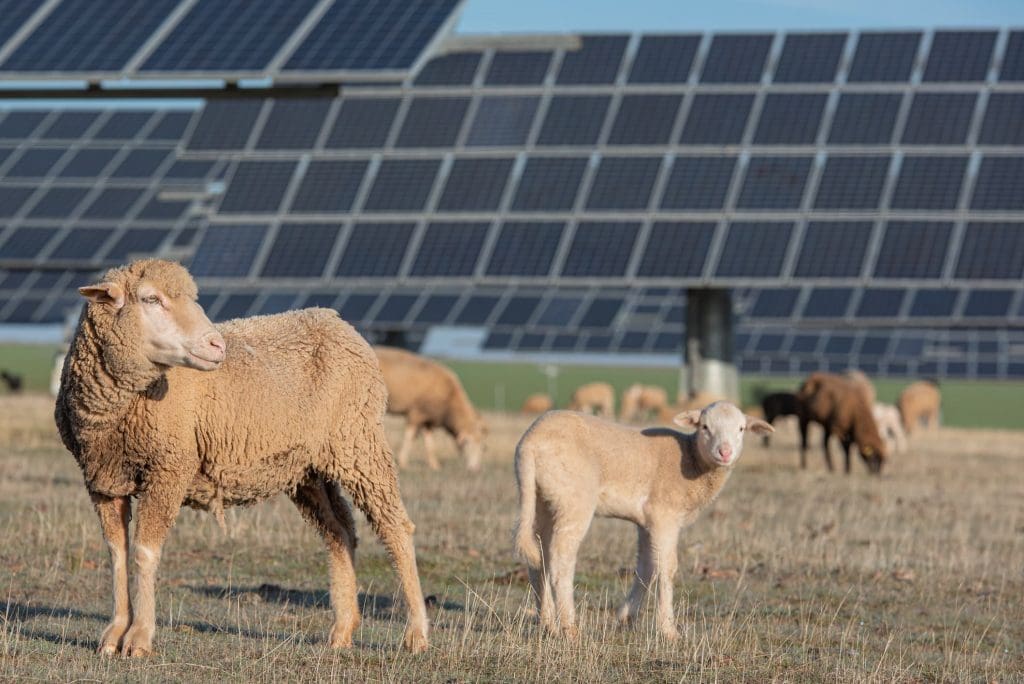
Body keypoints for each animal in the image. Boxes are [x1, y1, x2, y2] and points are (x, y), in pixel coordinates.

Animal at [55, 259, 429, 657]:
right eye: (151, 299)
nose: (216, 344)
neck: (118, 408)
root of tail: (336, 320)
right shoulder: (103, 479)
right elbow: (117, 554)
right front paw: (113, 635)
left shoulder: (169, 468)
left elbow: (143, 553)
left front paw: (139, 638)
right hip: (307, 468)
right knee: (339, 532)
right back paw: (342, 630)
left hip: (358, 441)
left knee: (395, 527)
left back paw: (416, 633)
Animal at [514, 401, 773, 639]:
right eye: (705, 427)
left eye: (741, 428)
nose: (725, 452)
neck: (691, 459)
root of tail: (530, 443)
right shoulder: (664, 515)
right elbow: (667, 567)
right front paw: (668, 630)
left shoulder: (646, 521)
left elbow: (647, 567)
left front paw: (627, 616)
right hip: (574, 497)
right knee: (561, 559)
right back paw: (569, 628)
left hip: (543, 499)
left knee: (538, 558)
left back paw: (547, 623)